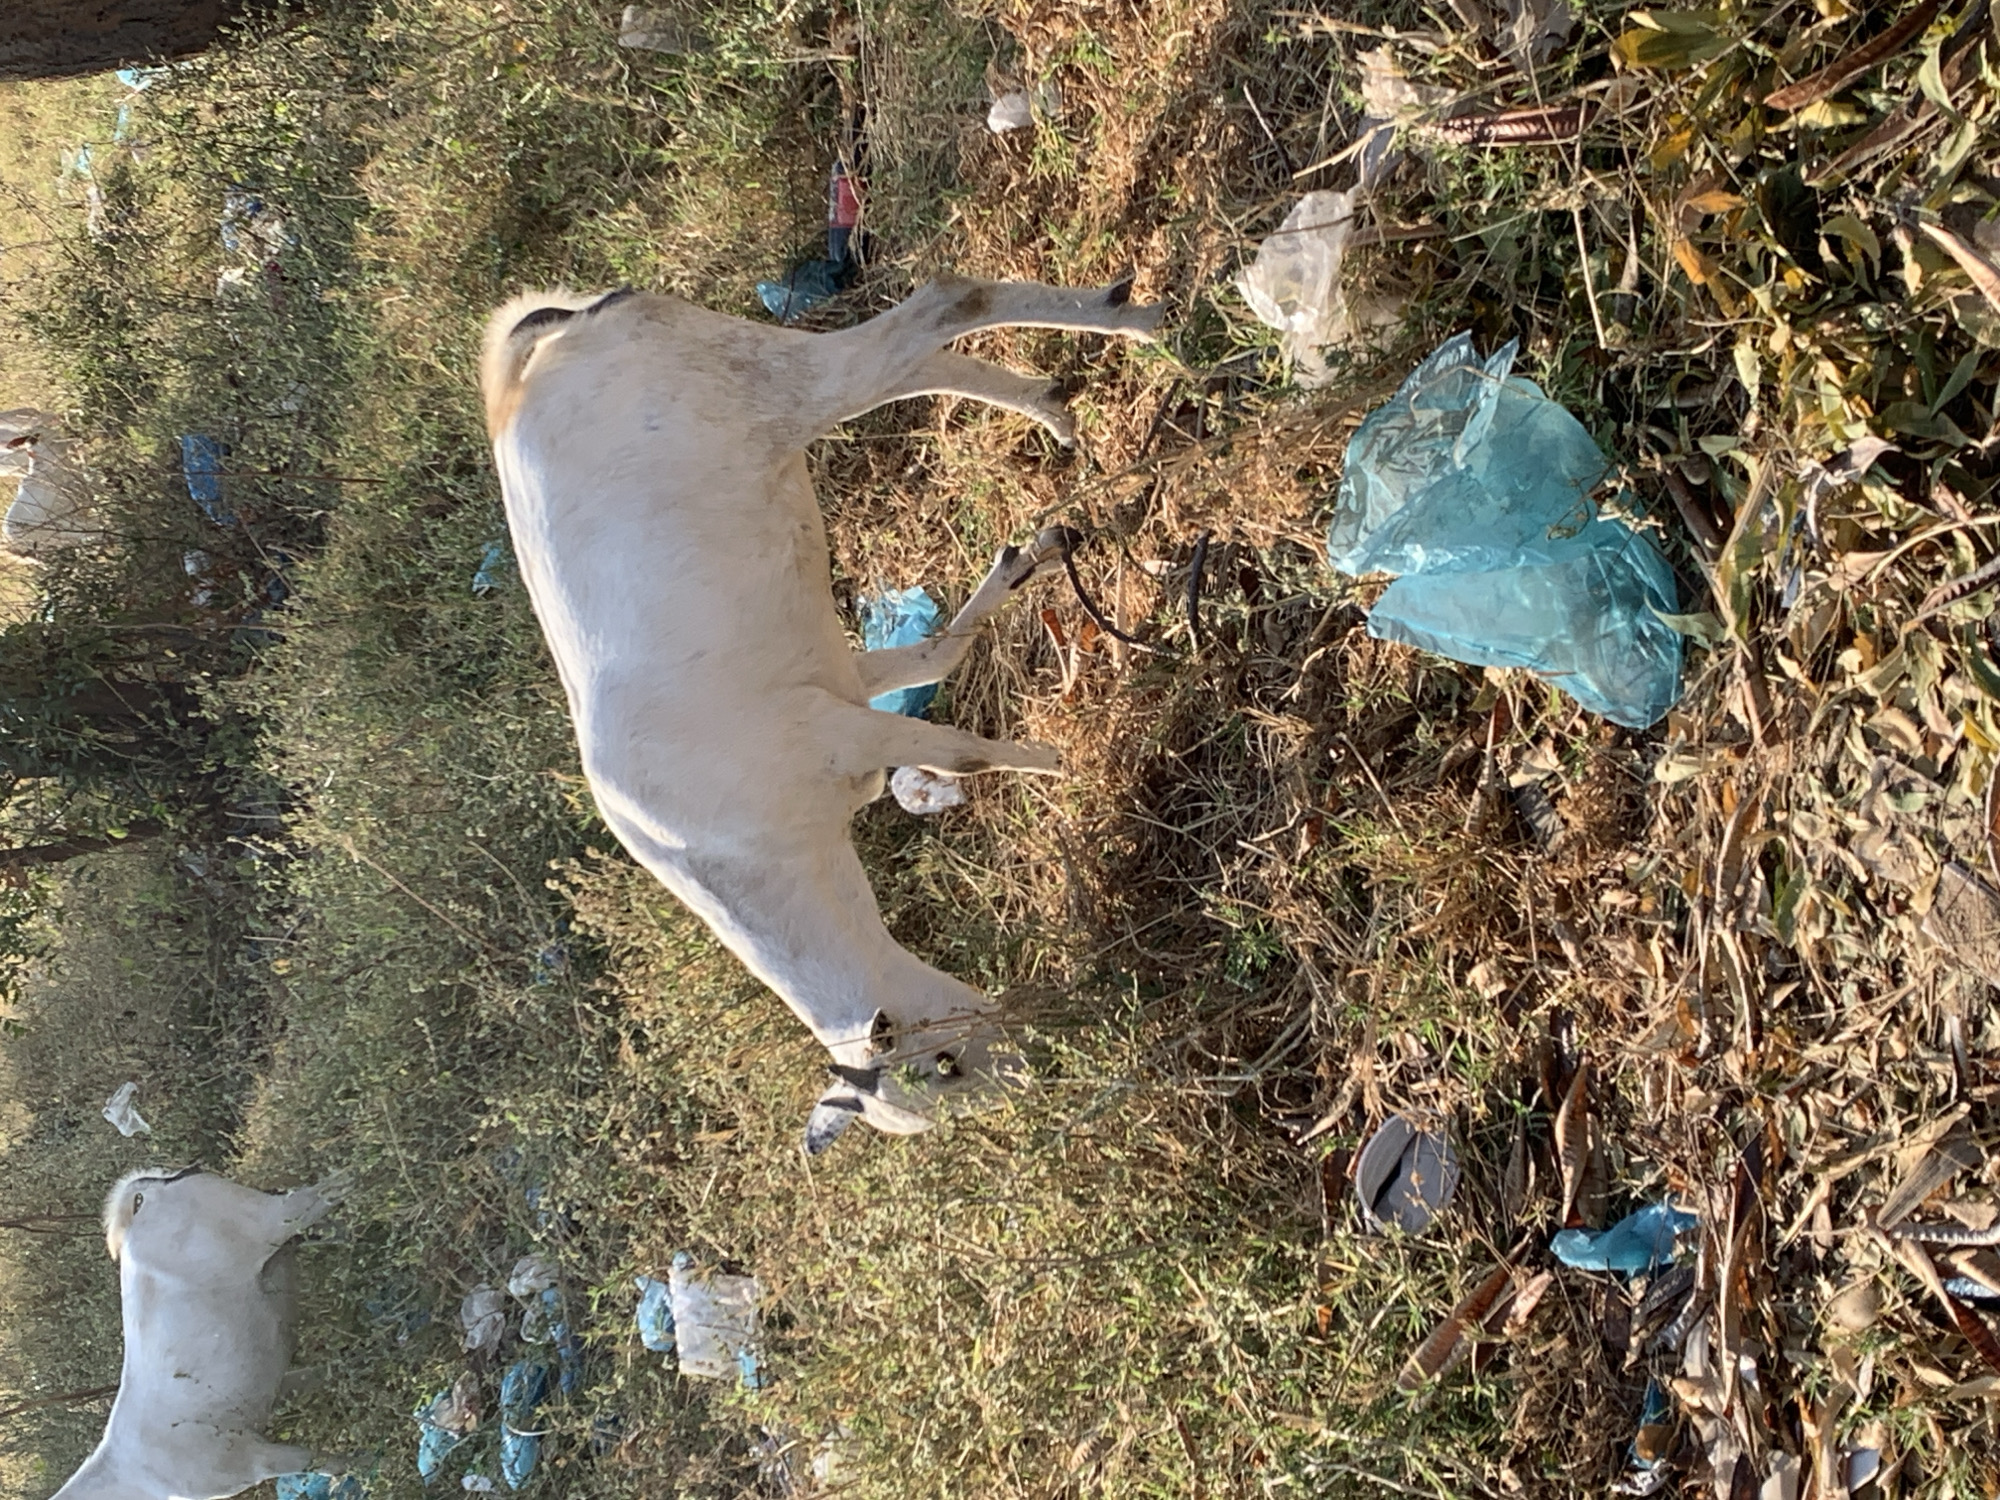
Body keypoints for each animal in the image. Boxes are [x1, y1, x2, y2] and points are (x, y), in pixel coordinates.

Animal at [480, 275, 1161, 1152]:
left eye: (943, 1065)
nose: (1036, 1062)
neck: (747, 850)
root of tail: (542, 347)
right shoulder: (842, 684)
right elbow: (936, 662)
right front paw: (1028, 560)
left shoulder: (839, 731)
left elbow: (962, 752)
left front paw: (1063, 765)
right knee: (915, 355)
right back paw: (1056, 409)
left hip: (767, 389)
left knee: (939, 306)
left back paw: (1137, 326)